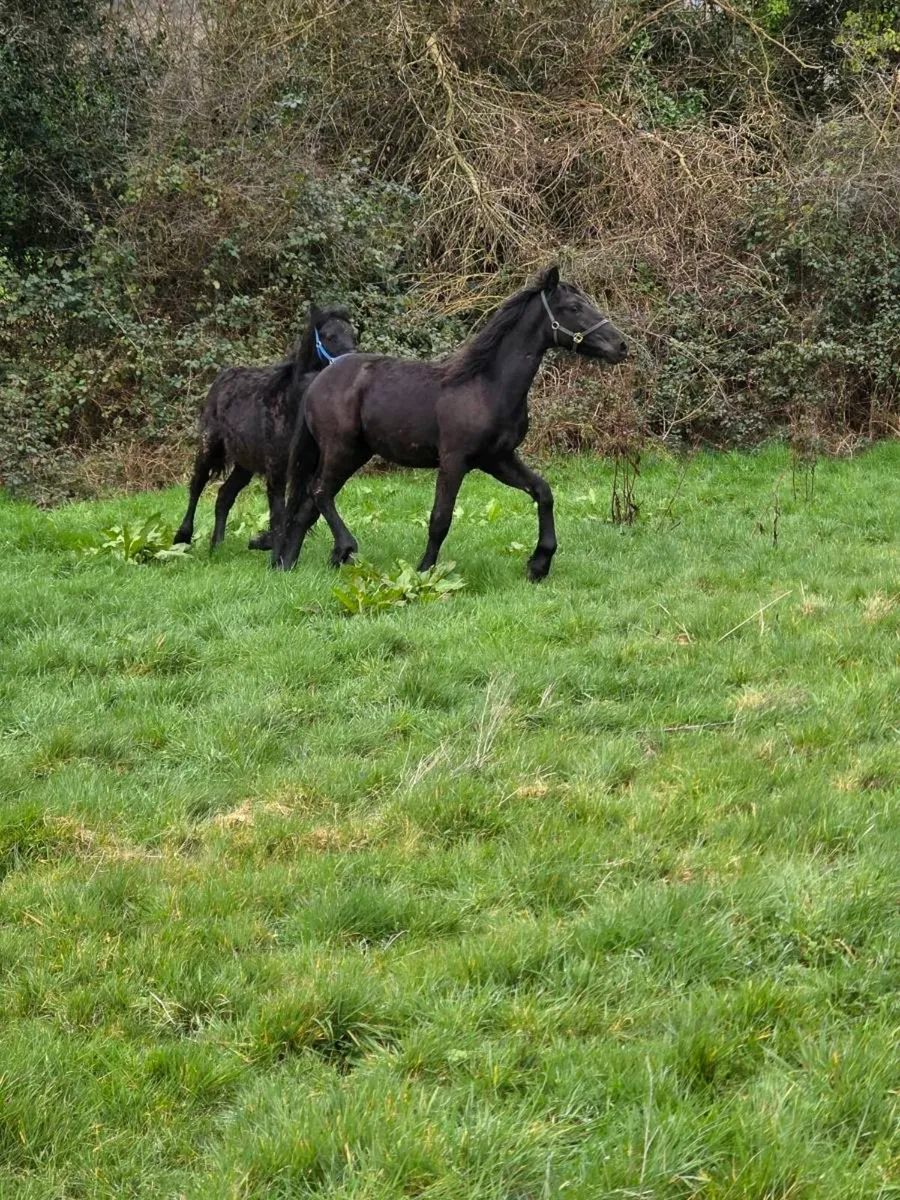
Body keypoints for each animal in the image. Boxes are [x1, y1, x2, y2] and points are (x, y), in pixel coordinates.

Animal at [173, 304, 357, 551]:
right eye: (329, 336)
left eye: (353, 335)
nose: (352, 363)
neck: (291, 404)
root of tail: (224, 375)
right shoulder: (276, 469)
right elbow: (278, 514)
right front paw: (270, 543)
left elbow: (305, 512)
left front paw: (262, 541)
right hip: (209, 445)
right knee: (197, 485)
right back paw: (182, 537)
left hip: (244, 464)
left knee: (224, 495)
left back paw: (217, 545)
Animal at [273, 265, 627, 580]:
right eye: (574, 308)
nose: (621, 345)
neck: (486, 387)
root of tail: (319, 380)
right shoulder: (454, 461)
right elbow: (440, 519)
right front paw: (423, 571)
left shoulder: (498, 459)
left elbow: (543, 492)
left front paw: (539, 564)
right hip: (341, 449)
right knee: (319, 493)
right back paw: (344, 549)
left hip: (355, 453)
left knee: (308, 506)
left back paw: (290, 564)